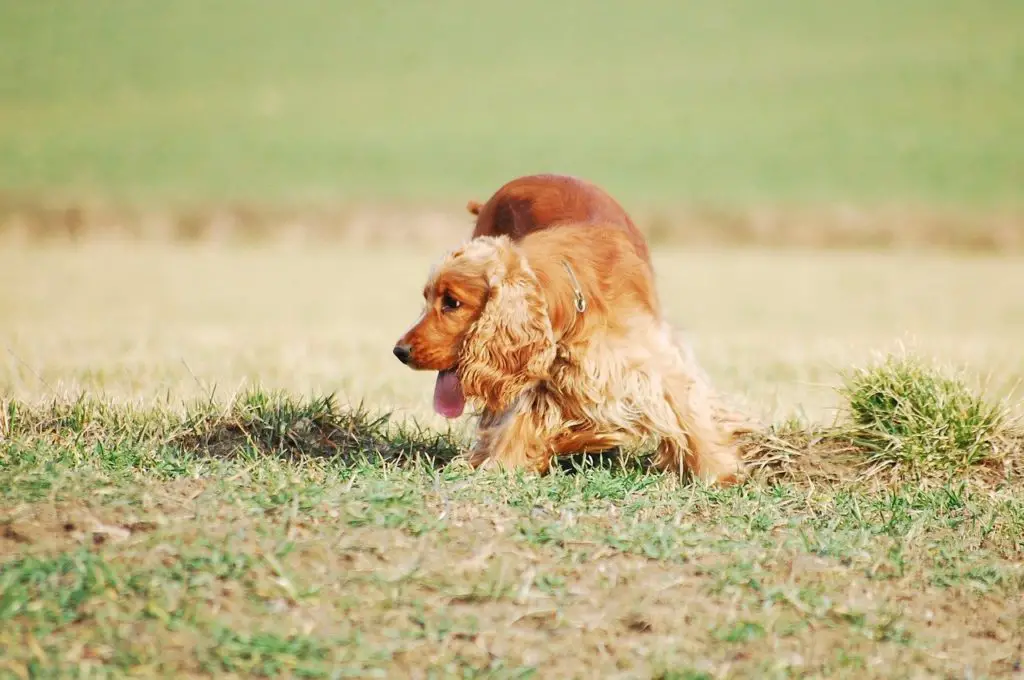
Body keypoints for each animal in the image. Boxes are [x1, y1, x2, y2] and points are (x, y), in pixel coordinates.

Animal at [391, 222, 745, 483]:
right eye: (427, 298)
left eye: (452, 302)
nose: (399, 351)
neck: (573, 310)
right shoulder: (537, 380)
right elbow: (517, 424)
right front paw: (499, 465)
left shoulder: (654, 361)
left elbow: (690, 416)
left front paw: (720, 473)